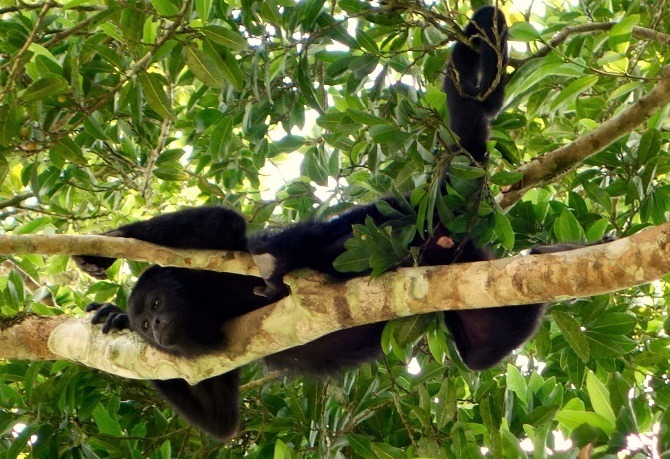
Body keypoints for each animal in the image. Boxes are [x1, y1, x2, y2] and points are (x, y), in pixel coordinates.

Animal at [76, 7, 524, 444]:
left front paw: (105, 245)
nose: (155, 329)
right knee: (479, 343)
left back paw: (285, 264)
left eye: (155, 305)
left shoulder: (207, 271)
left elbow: (223, 223)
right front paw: (115, 316)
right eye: (145, 326)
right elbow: (222, 422)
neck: (203, 306)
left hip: (394, 217)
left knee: (331, 237)